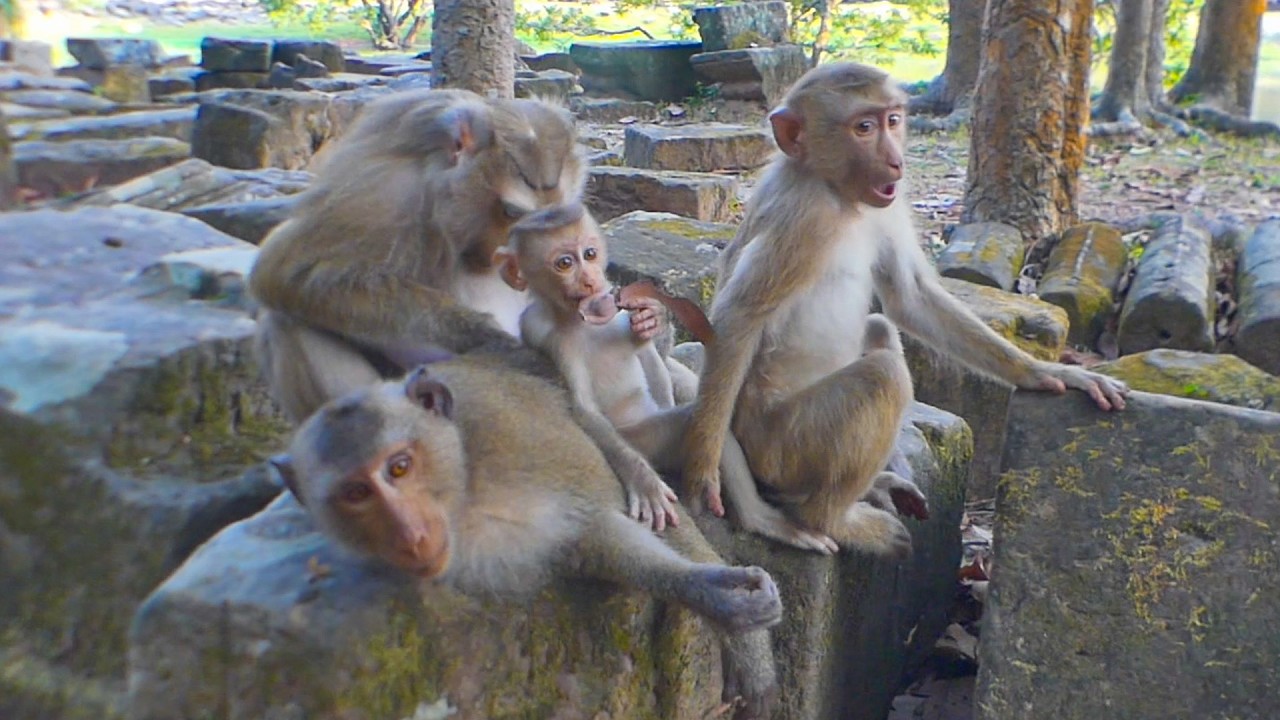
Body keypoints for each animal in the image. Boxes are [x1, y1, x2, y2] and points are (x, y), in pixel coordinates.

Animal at [272, 358, 781, 719]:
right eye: (356, 493)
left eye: (399, 467)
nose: (409, 533)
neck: (464, 489)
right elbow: (588, 543)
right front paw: (712, 594)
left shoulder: (523, 446)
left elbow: (600, 520)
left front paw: (727, 611)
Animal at [493, 202, 838, 553]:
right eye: (565, 263)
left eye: (589, 254)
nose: (590, 280)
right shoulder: (541, 331)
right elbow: (583, 408)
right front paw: (644, 482)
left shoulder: (615, 303)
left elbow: (647, 352)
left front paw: (654, 318)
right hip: (641, 440)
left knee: (697, 420)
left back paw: (760, 520)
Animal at [682, 62, 1130, 558]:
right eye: (863, 127)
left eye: (893, 120)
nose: (897, 160)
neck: (837, 194)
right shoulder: (803, 216)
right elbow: (738, 317)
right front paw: (704, 473)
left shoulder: (885, 205)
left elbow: (910, 296)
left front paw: (1046, 371)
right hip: (783, 445)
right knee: (883, 377)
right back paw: (833, 520)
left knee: (879, 328)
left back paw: (874, 484)